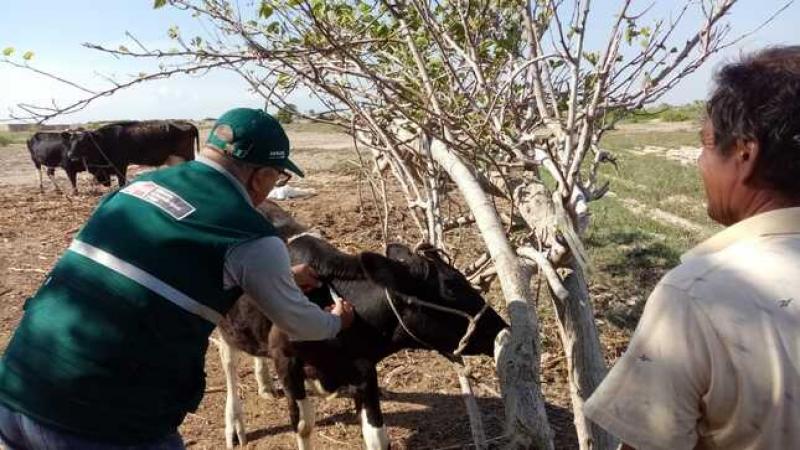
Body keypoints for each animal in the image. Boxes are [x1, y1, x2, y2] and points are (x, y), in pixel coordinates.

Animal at [69, 119, 200, 186]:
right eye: (71, 141)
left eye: (84, 141)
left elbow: (122, 183)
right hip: (174, 158)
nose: (70, 155)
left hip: (187, 156)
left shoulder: (120, 166)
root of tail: (187, 123)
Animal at [216, 205, 510, 450]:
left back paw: (265, 385)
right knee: (228, 359)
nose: (503, 328)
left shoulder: (364, 368)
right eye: (450, 287)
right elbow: (303, 424)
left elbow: (377, 435)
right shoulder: (285, 359)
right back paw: (235, 424)